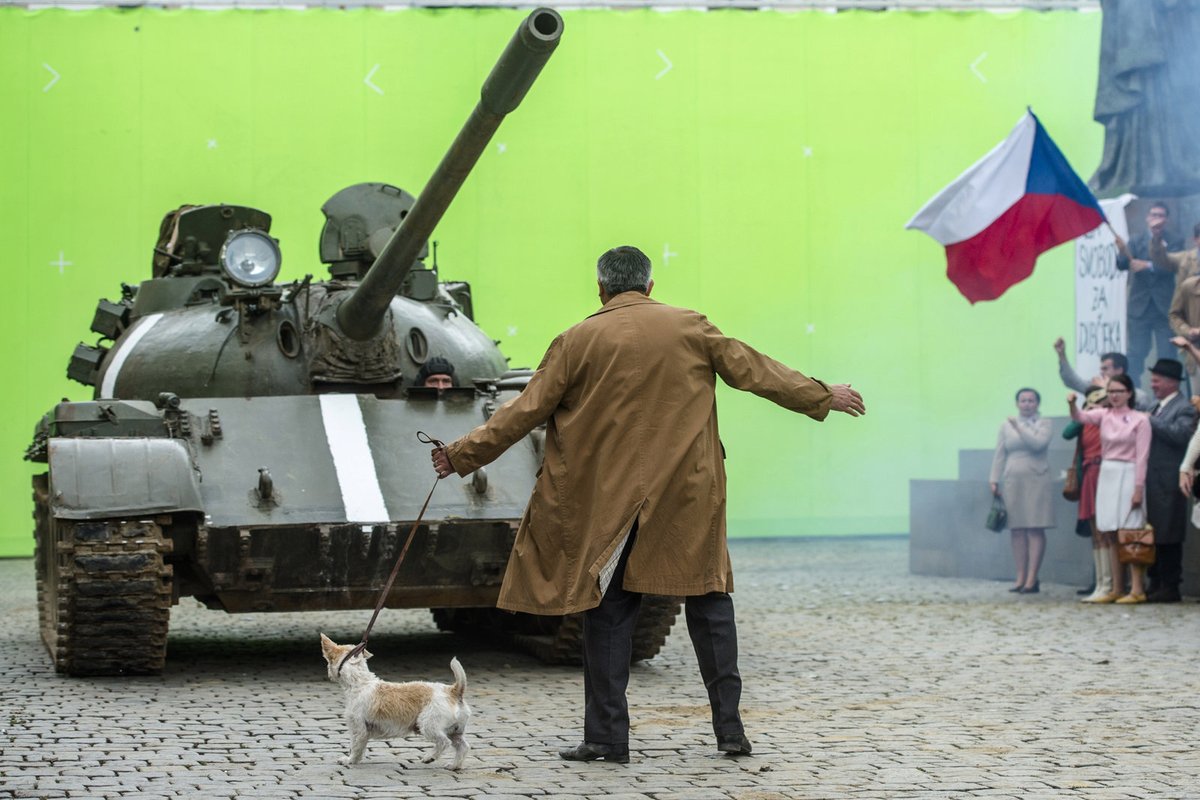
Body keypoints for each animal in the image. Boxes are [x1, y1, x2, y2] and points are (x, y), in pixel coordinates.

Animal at [316, 633, 470, 767]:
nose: (328, 674)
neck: (360, 682)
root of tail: (454, 690)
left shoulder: (358, 728)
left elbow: (355, 746)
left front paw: (350, 760)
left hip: (429, 725)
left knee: (444, 742)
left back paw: (429, 757)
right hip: (455, 731)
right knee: (463, 746)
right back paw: (454, 766)